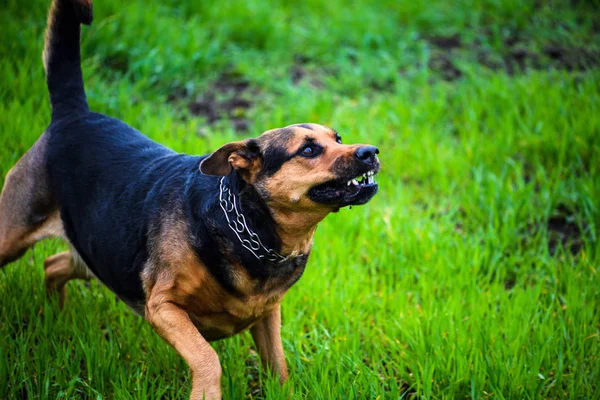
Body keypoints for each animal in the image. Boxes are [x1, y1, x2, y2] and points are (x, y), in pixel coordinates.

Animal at [0, 0, 382, 396]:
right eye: (308, 149)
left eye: (338, 138)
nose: (370, 152)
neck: (247, 228)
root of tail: (74, 115)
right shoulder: (162, 306)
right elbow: (207, 357)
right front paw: (207, 392)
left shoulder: (267, 314)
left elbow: (278, 366)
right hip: (13, 235)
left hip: (97, 249)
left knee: (53, 265)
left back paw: (54, 314)